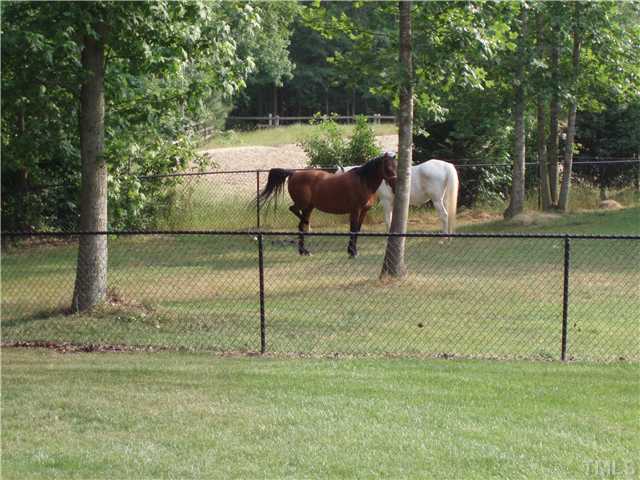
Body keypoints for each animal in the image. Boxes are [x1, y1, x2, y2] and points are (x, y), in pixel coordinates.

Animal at [258, 152, 397, 257]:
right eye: (387, 167)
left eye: (395, 166)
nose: (395, 183)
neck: (363, 181)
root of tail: (294, 173)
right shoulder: (355, 210)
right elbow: (352, 230)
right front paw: (352, 252)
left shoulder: (363, 211)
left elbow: (357, 230)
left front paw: (353, 251)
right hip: (303, 204)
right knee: (294, 212)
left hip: (309, 207)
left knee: (300, 226)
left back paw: (304, 251)